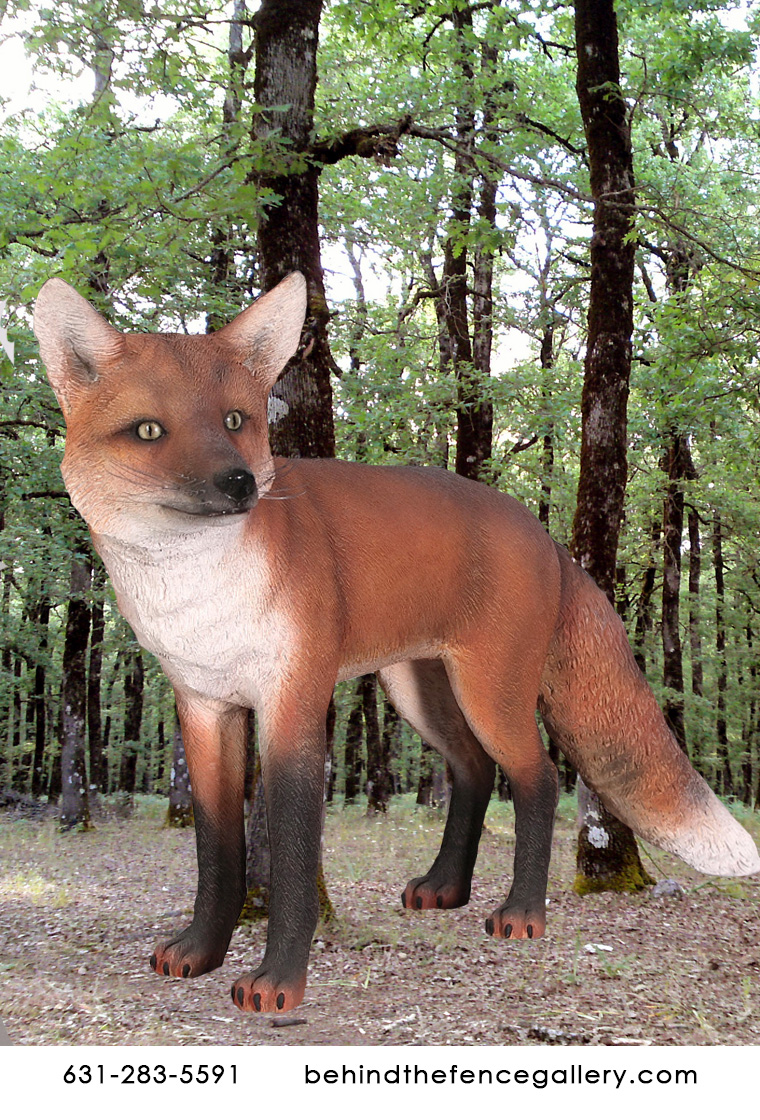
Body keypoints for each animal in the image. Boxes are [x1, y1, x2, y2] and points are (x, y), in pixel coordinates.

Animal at [34, 272, 759, 1014]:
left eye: (236, 422)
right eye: (149, 431)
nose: (239, 484)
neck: (202, 596)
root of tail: (543, 533)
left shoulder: (295, 698)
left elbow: (293, 851)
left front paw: (279, 981)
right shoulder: (203, 706)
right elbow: (216, 848)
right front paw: (201, 952)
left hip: (488, 691)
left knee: (537, 778)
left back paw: (522, 913)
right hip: (416, 690)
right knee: (474, 770)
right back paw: (448, 889)